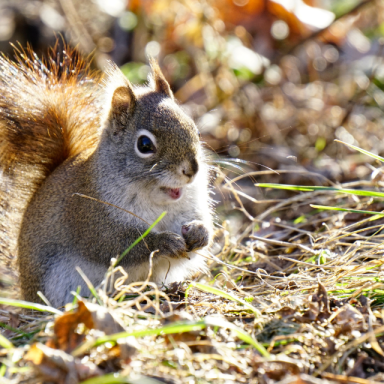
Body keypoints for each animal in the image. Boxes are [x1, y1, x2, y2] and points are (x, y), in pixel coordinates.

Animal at [0, 44, 213, 306]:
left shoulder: (190, 206)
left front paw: (200, 232)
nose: (191, 170)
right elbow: (117, 246)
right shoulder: (90, 216)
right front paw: (164, 242)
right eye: (144, 145)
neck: (156, 199)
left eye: (194, 128)